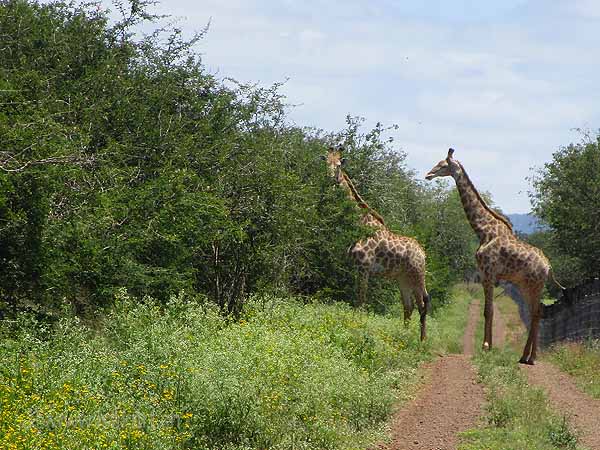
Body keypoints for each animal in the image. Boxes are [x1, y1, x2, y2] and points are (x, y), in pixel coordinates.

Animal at [325, 147, 431, 341]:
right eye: (326, 162)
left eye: (338, 165)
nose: (330, 178)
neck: (360, 223)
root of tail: (423, 253)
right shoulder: (357, 267)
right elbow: (357, 298)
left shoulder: (364, 266)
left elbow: (361, 300)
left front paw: (357, 327)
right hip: (402, 278)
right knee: (408, 306)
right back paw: (403, 336)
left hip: (417, 274)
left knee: (422, 303)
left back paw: (421, 340)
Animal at [425, 148, 564, 364]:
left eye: (442, 165)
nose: (428, 175)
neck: (483, 230)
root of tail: (549, 266)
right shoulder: (484, 275)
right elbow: (487, 310)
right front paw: (488, 346)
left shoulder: (489, 273)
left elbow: (488, 310)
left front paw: (485, 346)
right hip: (525, 285)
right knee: (536, 312)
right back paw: (525, 356)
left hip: (534, 285)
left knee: (536, 313)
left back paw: (531, 357)